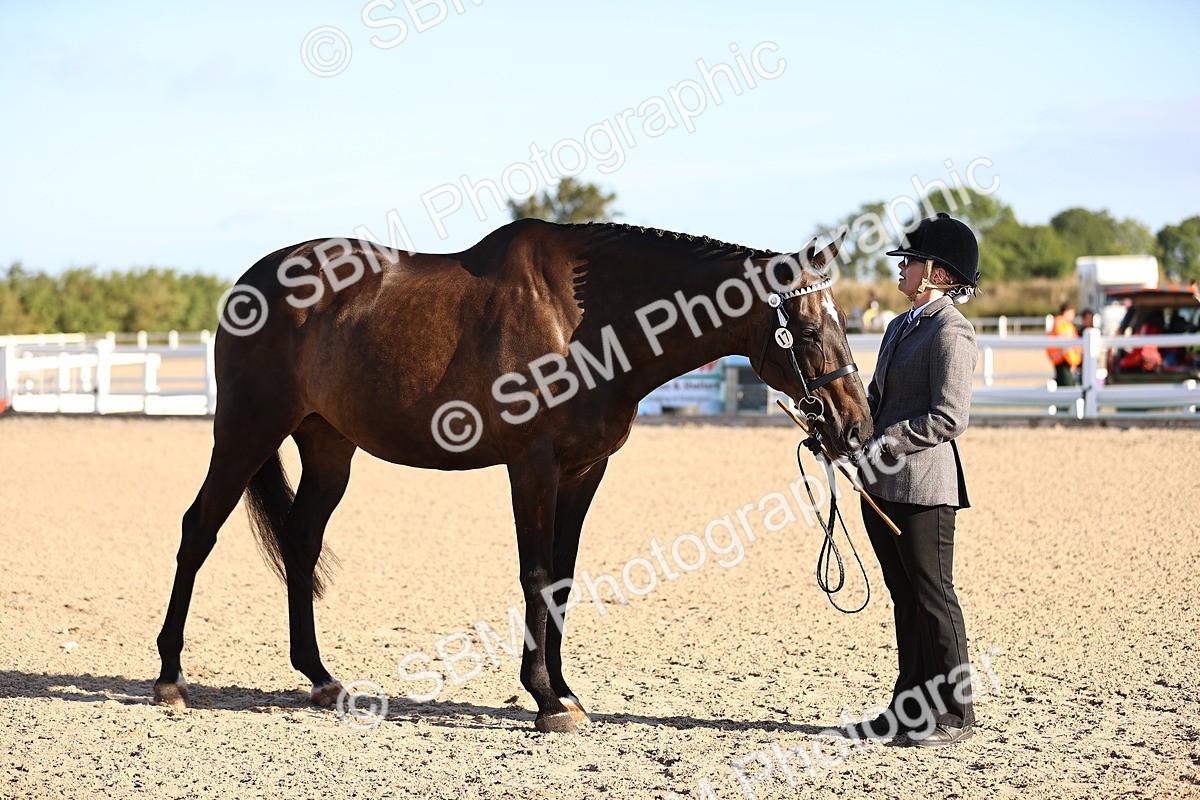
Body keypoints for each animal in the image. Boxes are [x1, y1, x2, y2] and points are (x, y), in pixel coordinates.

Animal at [153, 219, 872, 733]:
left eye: (847, 322)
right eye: (809, 331)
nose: (855, 428)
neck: (583, 320)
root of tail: (250, 284)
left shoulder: (585, 470)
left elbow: (562, 580)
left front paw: (566, 694)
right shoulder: (533, 466)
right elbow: (535, 574)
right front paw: (546, 700)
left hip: (329, 448)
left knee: (301, 542)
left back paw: (321, 678)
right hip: (246, 431)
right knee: (197, 530)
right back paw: (170, 677)